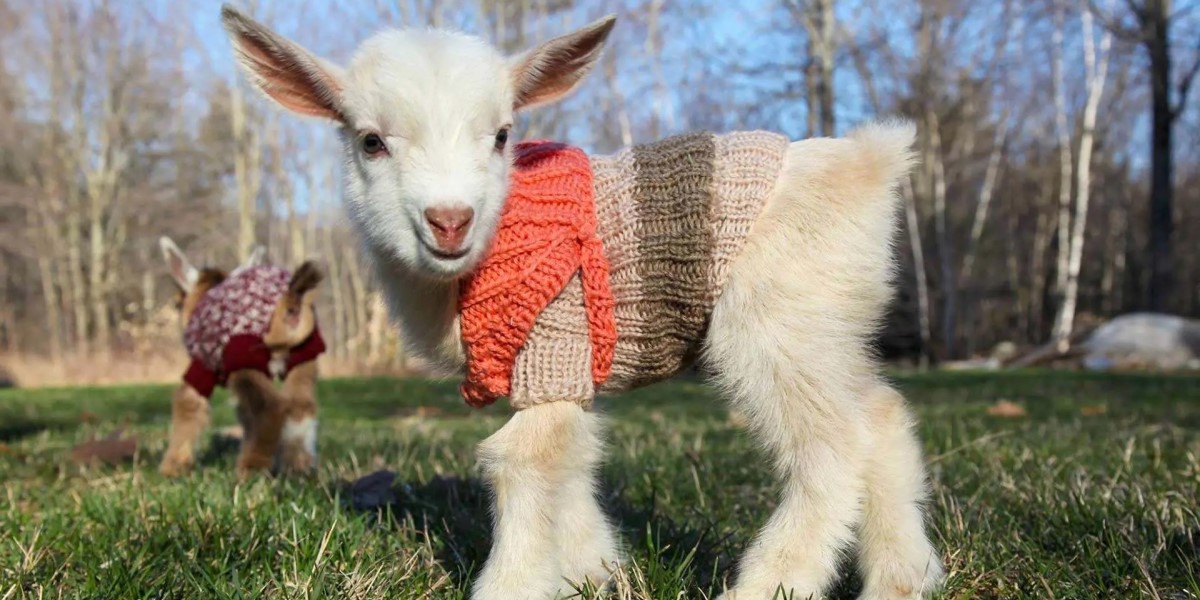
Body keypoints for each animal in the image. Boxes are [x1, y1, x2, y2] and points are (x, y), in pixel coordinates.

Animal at [159, 236, 331, 480]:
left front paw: (172, 468)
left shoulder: (202, 367)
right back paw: (298, 467)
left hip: (243, 356)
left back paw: (250, 470)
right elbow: (243, 415)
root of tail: (289, 303)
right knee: (301, 405)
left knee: (270, 407)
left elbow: (187, 404)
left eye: (176, 303)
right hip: (304, 355)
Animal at [220, 4, 940, 600]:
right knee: (881, 417)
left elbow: (524, 459)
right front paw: (595, 572)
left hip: (774, 322)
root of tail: (869, 164)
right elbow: (572, 463)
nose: (449, 220)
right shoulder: (556, 372)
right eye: (370, 141)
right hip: (829, 322)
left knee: (833, 443)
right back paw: (903, 580)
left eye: (502, 135)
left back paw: (769, 585)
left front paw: (514, 587)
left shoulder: (553, 338)